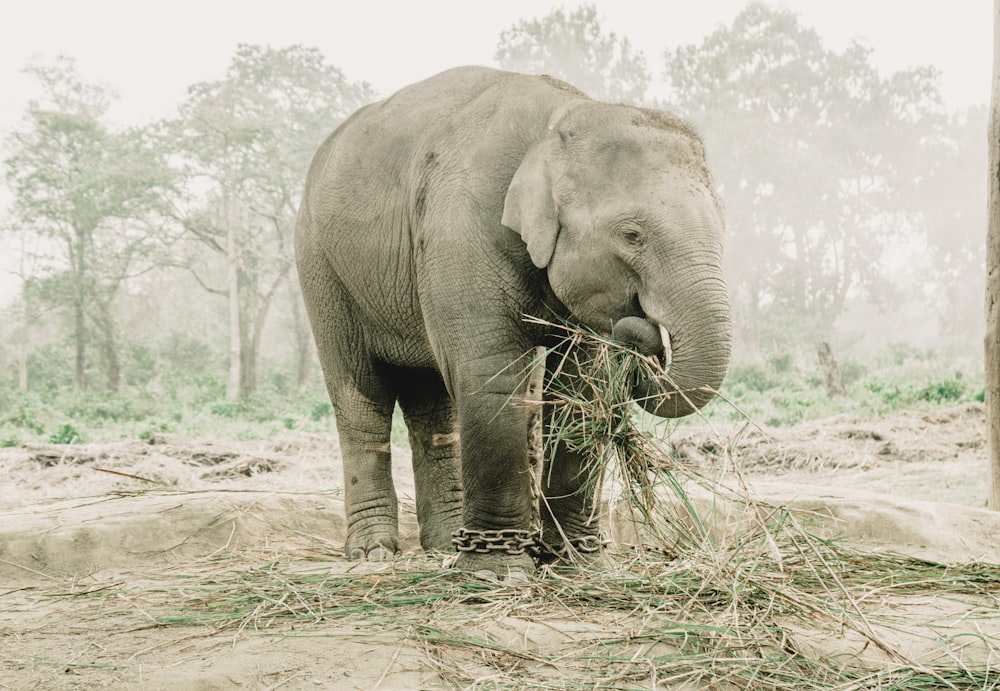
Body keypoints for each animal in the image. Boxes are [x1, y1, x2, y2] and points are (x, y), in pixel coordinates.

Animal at [292, 67, 732, 580]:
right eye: (632, 235)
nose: (644, 337)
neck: (558, 121)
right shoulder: (462, 225)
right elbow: (494, 375)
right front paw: (497, 572)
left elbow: (581, 388)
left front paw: (580, 564)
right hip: (321, 267)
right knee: (361, 397)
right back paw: (374, 553)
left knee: (433, 404)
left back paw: (444, 544)